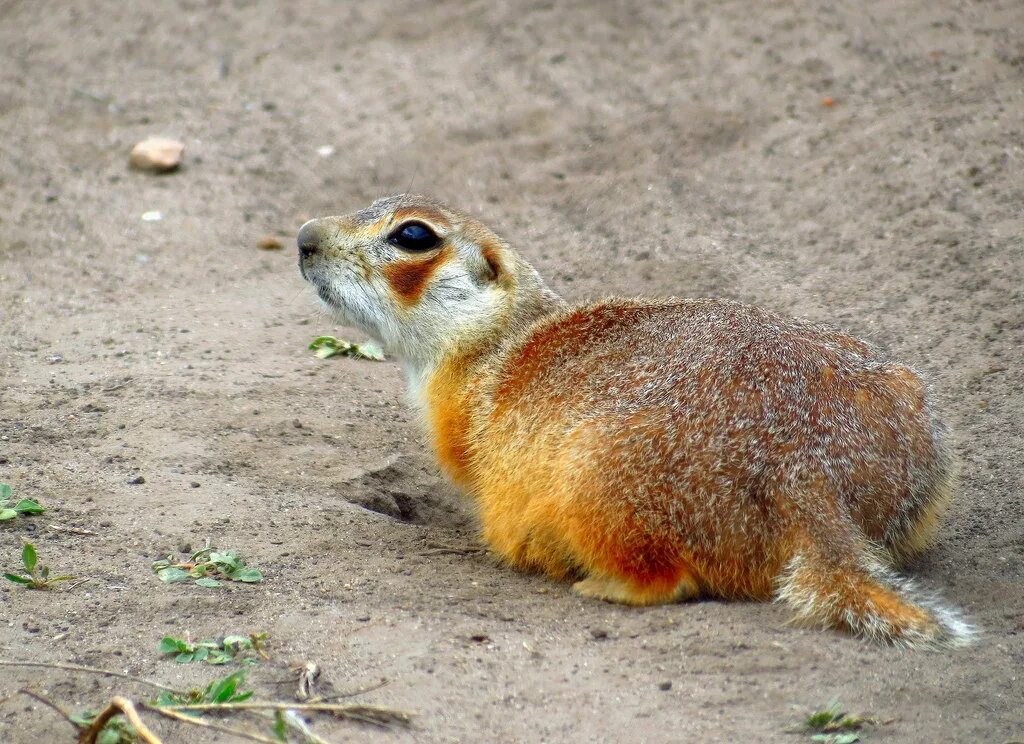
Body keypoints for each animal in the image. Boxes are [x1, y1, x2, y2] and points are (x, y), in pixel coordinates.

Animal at [299, 195, 974, 650]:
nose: (304, 235)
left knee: (667, 579)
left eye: (413, 234)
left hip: (595, 479)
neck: (499, 338)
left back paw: (603, 585)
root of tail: (808, 473)